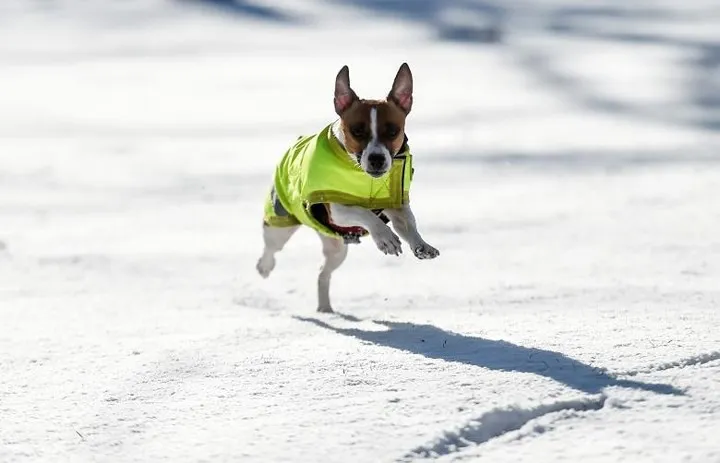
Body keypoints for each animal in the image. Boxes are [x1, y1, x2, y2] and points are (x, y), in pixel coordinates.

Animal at [256, 63, 442, 314]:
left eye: (392, 131)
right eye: (357, 131)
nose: (376, 159)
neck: (364, 177)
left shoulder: (396, 205)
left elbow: (408, 223)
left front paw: (421, 244)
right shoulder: (336, 208)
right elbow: (363, 212)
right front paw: (385, 238)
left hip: (336, 249)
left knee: (322, 273)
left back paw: (325, 307)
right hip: (280, 222)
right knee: (272, 248)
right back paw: (264, 267)